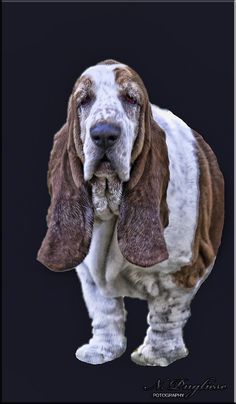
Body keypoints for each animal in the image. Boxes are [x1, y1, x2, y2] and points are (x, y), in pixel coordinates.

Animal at [36, 60, 223, 366]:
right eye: (84, 100)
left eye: (131, 99)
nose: (104, 134)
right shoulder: (89, 275)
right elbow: (104, 309)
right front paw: (101, 350)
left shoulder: (181, 269)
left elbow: (166, 312)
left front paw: (157, 354)